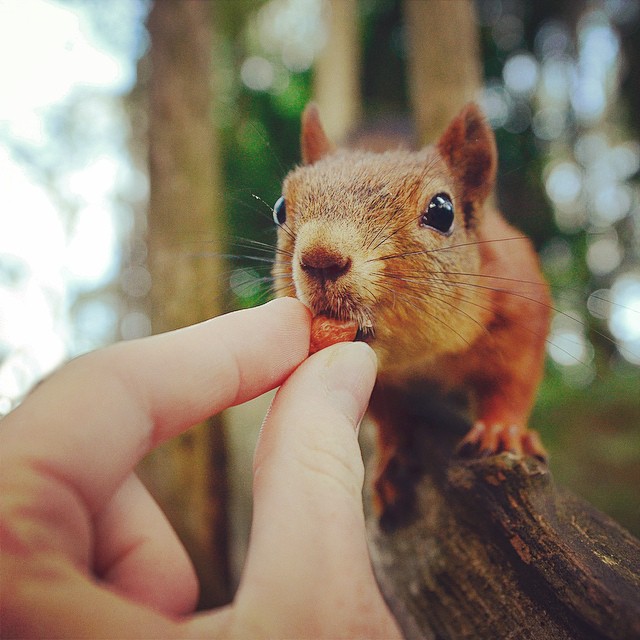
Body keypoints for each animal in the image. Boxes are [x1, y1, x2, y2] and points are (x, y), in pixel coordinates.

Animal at [270, 104, 552, 524]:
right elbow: (386, 414)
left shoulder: (519, 302)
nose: (321, 258)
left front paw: (502, 430)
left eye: (442, 211)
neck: (420, 355)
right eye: (280, 209)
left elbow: (513, 379)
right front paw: (390, 459)